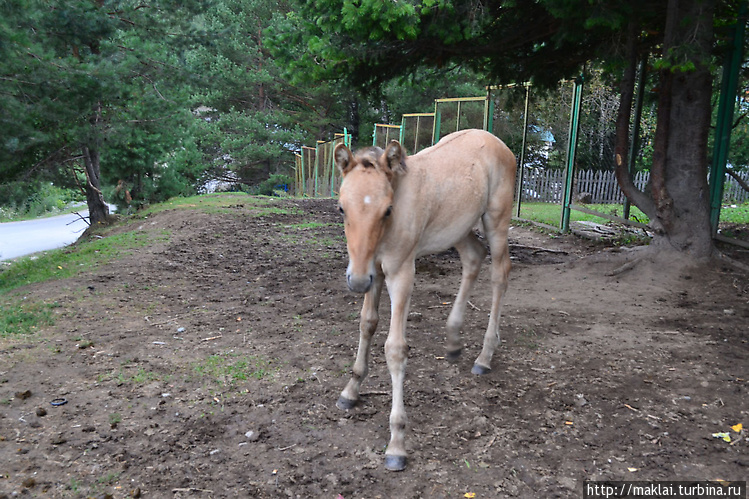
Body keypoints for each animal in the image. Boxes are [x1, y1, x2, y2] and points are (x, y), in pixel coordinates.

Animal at [334, 129, 516, 472]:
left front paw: (396, 444)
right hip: (458, 228)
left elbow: (395, 349)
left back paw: (484, 356)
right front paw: (351, 391)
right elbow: (367, 324)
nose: (357, 282)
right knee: (474, 258)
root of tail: (498, 142)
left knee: (500, 273)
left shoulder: (400, 272)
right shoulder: (374, 271)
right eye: (341, 208)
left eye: (387, 210)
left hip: (496, 220)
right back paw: (454, 340)